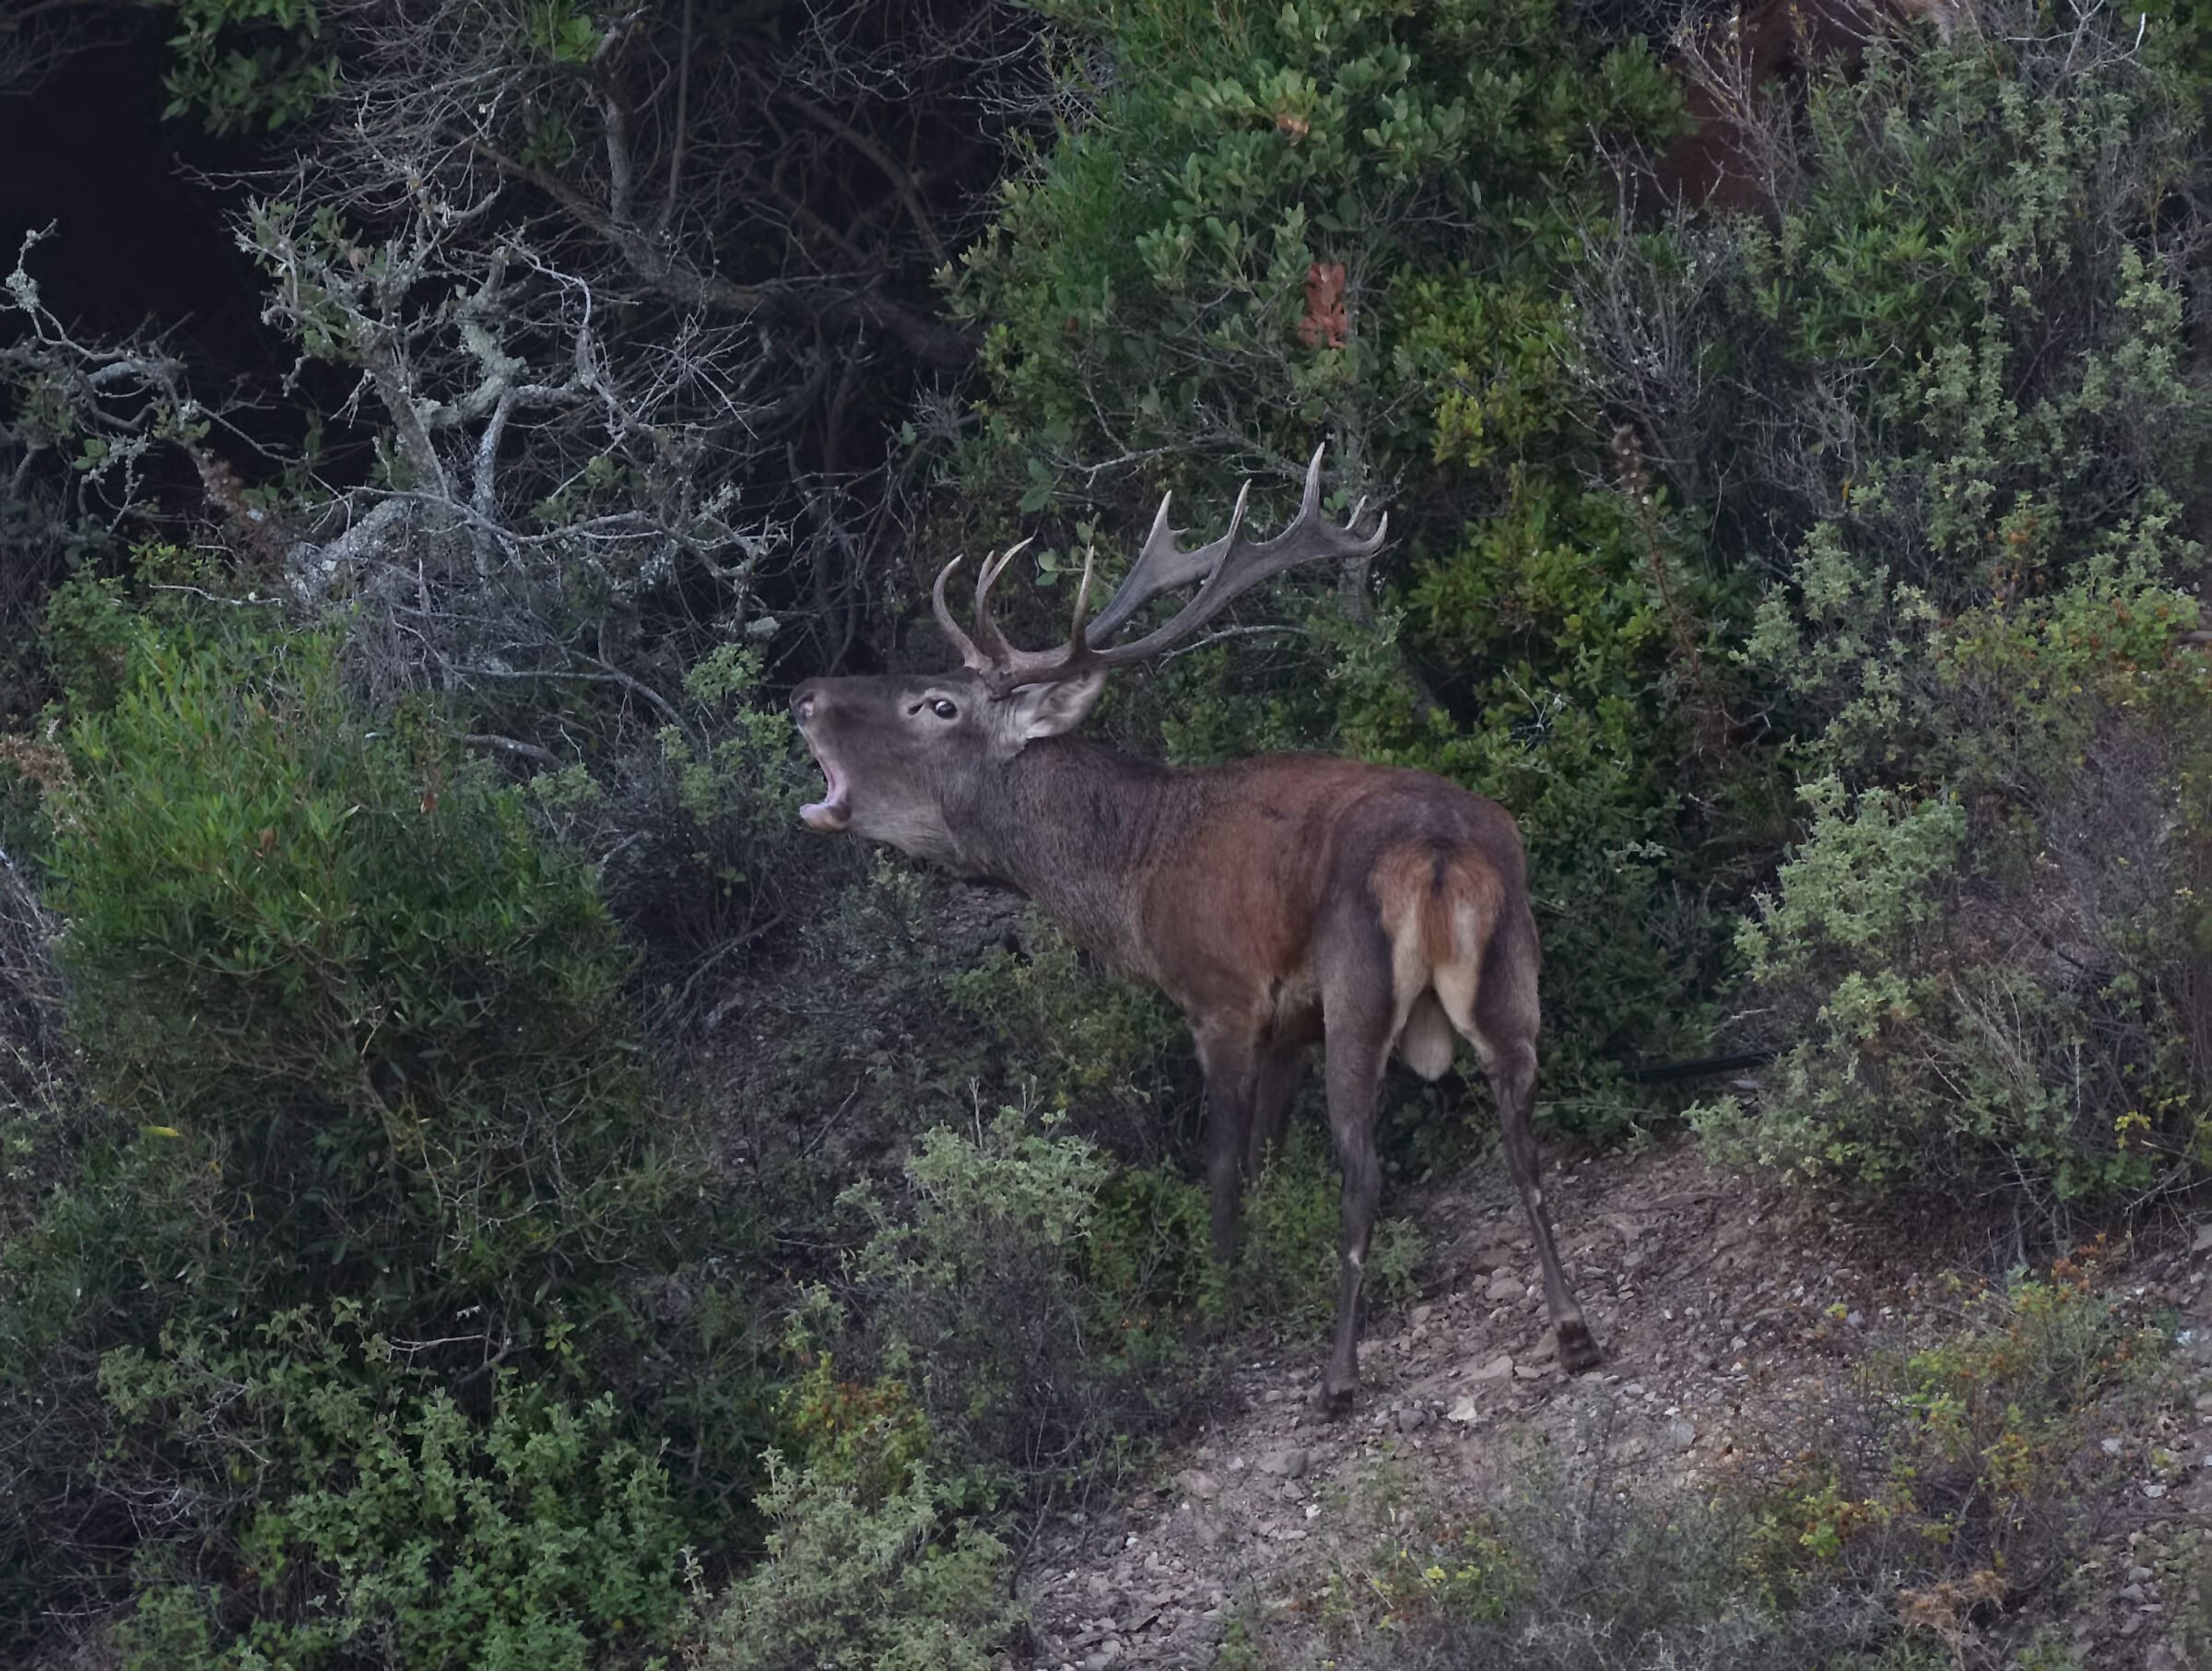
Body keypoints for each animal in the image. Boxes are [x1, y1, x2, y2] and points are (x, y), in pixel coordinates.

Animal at [789, 448, 1600, 1411]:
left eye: (937, 704)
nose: (803, 693)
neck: (1135, 877)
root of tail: (1439, 853)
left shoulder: (1221, 994)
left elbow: (1223, 1166)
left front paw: (1221, 1288)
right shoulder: (1290, 1019)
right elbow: (1269, 1153)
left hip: (1362, 989)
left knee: (1365, 1169)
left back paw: (1338, 1375)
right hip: (1512, 973)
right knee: (1523, 1137)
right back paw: (1573, 1330)